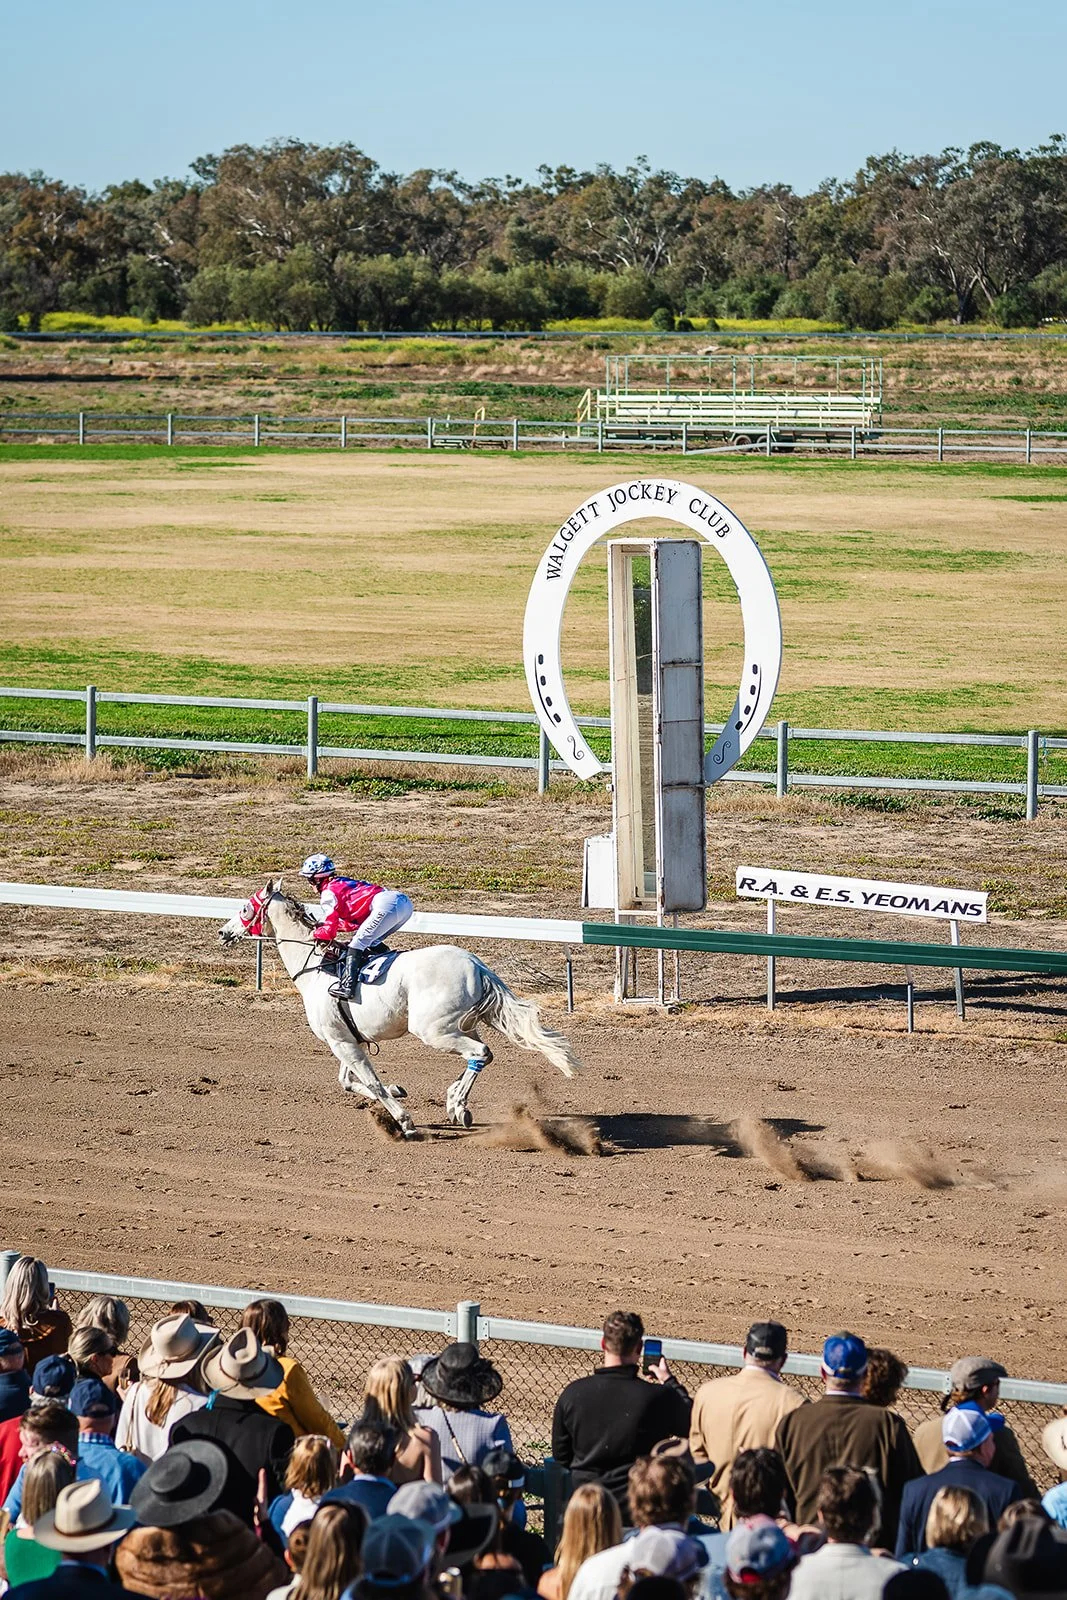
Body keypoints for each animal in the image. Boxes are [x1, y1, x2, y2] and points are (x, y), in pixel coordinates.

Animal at [218, 881, 582, 1140]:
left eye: (246, 907)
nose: (223, 932)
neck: (316, 968)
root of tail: (476, 964)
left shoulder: (341, 1041)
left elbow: (371, 1083)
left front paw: (405, 1121)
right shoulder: (348, 1038)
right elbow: (348, 1082)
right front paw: (398, 1090)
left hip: (433, 1030)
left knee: (481, 1052)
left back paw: (455, 1104)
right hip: (459, 1025)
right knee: (477, 1054)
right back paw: (456, 1103)